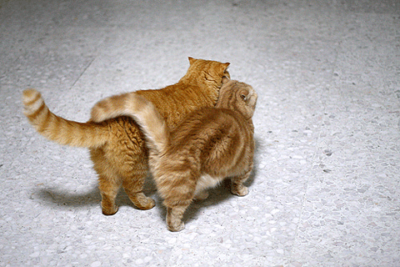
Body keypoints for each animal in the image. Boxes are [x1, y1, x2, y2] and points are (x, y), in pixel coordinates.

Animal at [21, 57, 230, 217]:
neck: (193, 84)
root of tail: (107, 123)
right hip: (137, 165)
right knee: (131, 189)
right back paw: (146, 204)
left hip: (107, 170)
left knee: (107, 191)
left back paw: (110, 211)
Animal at [94, 80, 256, 232]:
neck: (230, 109)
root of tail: (168, 146)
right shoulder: (246, 165)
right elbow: (238, 183)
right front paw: (241, 191)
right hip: (182, 189)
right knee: (173, 213)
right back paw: (178, 226)